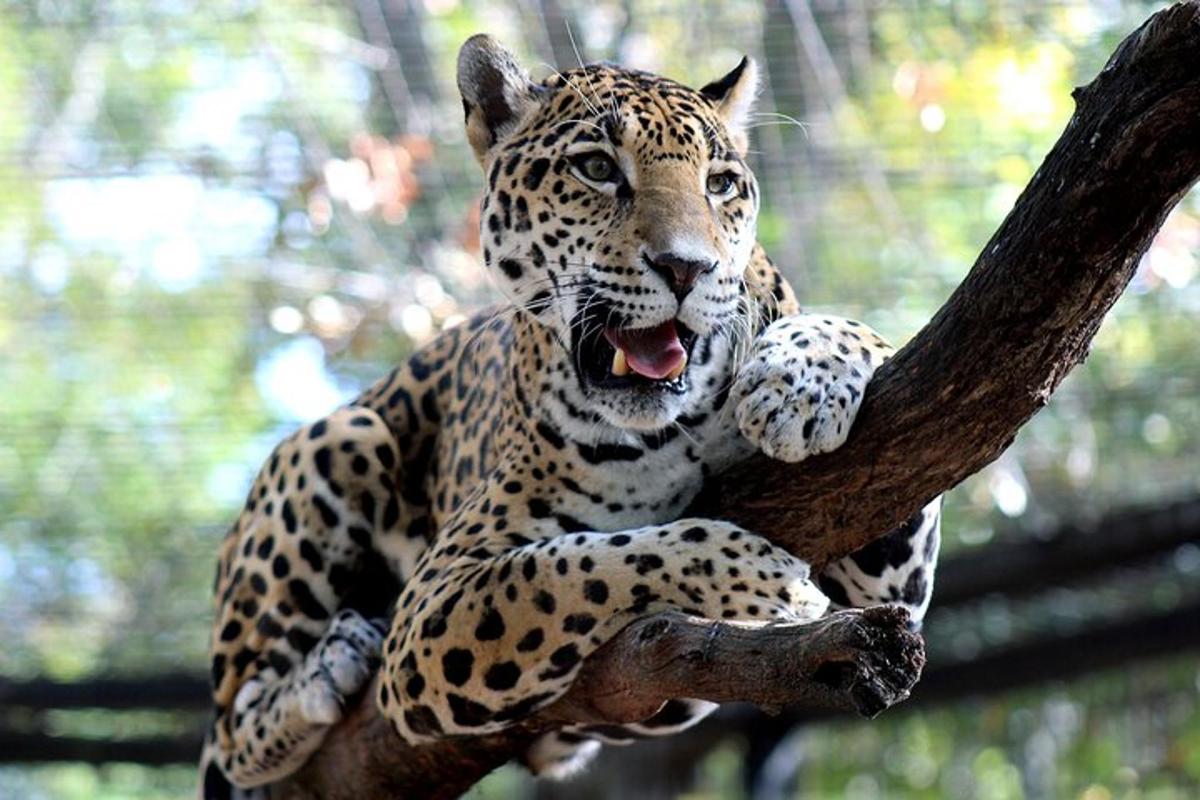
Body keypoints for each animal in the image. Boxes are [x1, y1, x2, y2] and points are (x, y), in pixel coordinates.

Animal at [198, 34, 942, 798]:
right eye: (597, 169)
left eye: (721, 184)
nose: (687, 268)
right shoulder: (430, 612)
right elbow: (574, 566)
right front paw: (759, 575)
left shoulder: (893, 594)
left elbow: (862, 343)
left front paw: (803, 383)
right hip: (343, 439)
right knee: (233, 725)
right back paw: (328, 667)